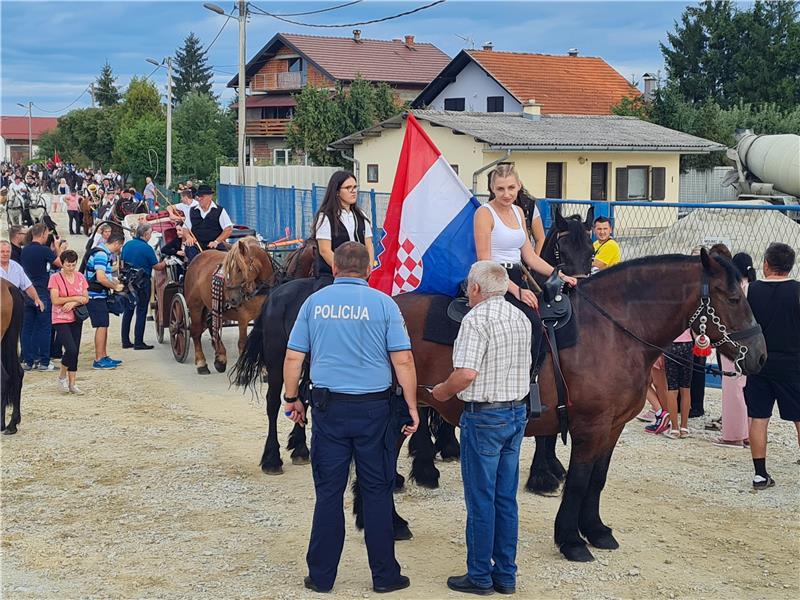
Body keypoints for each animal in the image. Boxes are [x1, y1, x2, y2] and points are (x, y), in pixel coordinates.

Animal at [183, 237, 276, 372]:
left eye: (239, 269)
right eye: (228, 270)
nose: (232, 299)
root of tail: (198, 257)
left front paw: (264, 371)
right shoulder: (243, 318)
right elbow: (242, 343)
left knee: (212, 326)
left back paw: (220, 357)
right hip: (195, 306)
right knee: (196, 331)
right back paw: (201, 363)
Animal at [396, 250, 764, 564]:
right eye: (733, 298)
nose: (760, 355)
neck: (612, 331)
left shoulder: (612, 426)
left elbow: (597, 479)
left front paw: (596, 531)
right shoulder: (590, 426)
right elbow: (577, 480)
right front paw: (571, 540)